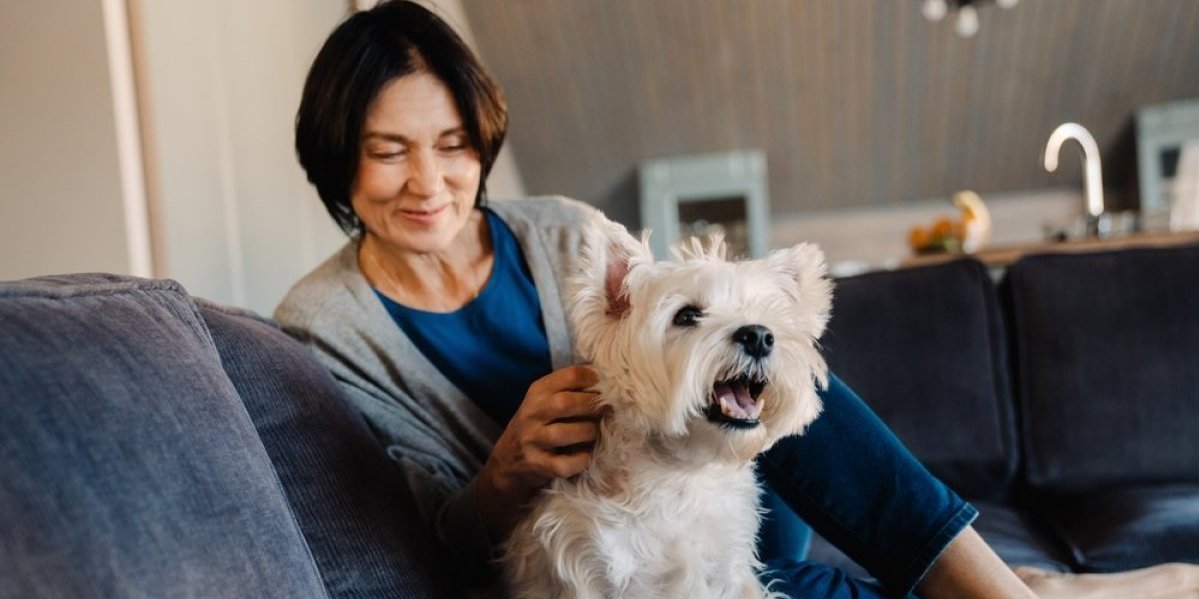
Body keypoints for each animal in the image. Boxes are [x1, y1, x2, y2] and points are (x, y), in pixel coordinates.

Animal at [501, 220, 829, 599]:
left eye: (766, 312)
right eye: (687, 315)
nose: (759, 336)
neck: (681, 474)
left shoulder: (727, 568)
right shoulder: (585, 568)